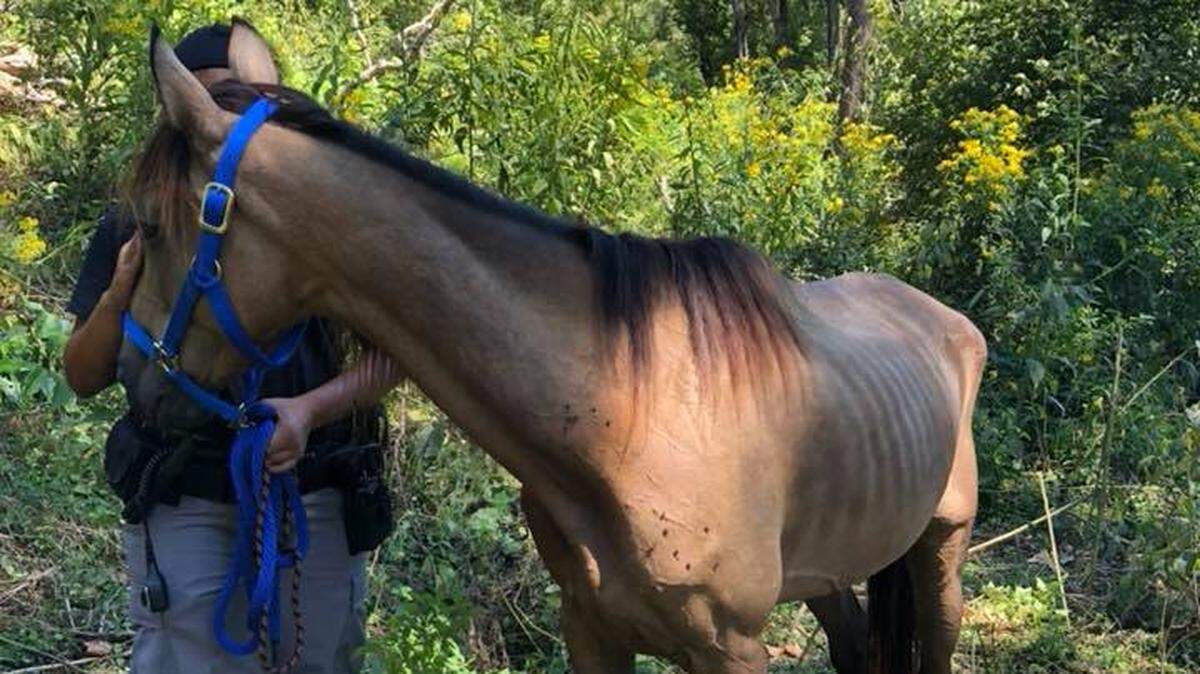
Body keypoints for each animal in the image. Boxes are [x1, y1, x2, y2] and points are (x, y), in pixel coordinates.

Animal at [121, 21, 984, 674]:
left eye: (152, 227)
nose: (140, 384)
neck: (626, 416)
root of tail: (947, 320)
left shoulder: (731, 650)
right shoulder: (591, 629)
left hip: (941, 557)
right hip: (831, 572)